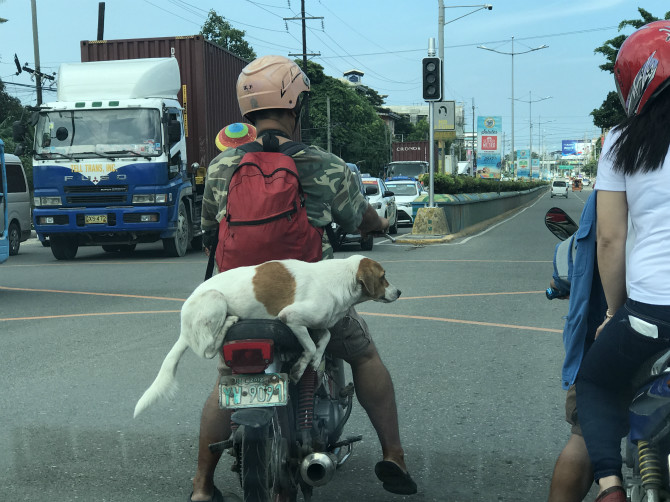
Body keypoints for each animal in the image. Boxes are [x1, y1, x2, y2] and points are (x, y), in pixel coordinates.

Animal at [134, 255, 402, 416]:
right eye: (383, 277)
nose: (399, 292)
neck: (340, 280)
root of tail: (184, 326)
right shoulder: (290, 317)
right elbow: (310, 346)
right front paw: (303, 365)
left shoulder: (315, 323)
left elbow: (324, 336)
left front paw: (314, 359)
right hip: (215, 299)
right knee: (207, 350)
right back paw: (228, 322)